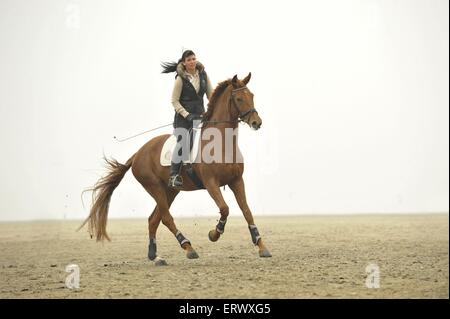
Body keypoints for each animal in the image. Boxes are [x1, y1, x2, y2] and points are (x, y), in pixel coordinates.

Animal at [79, 73, 272, 264]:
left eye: (252, 96)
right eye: (239, 98)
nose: (257, 122)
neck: (220, 143)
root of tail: (138, 153)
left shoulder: (237, 181)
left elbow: (247, 211)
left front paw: (261, 246)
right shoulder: (211, 183)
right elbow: (225, 208)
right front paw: (214, 234)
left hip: (170, 190)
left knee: (153, 219)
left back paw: (155, 256)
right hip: (155, 187)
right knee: (166, 218)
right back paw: (188, 248)